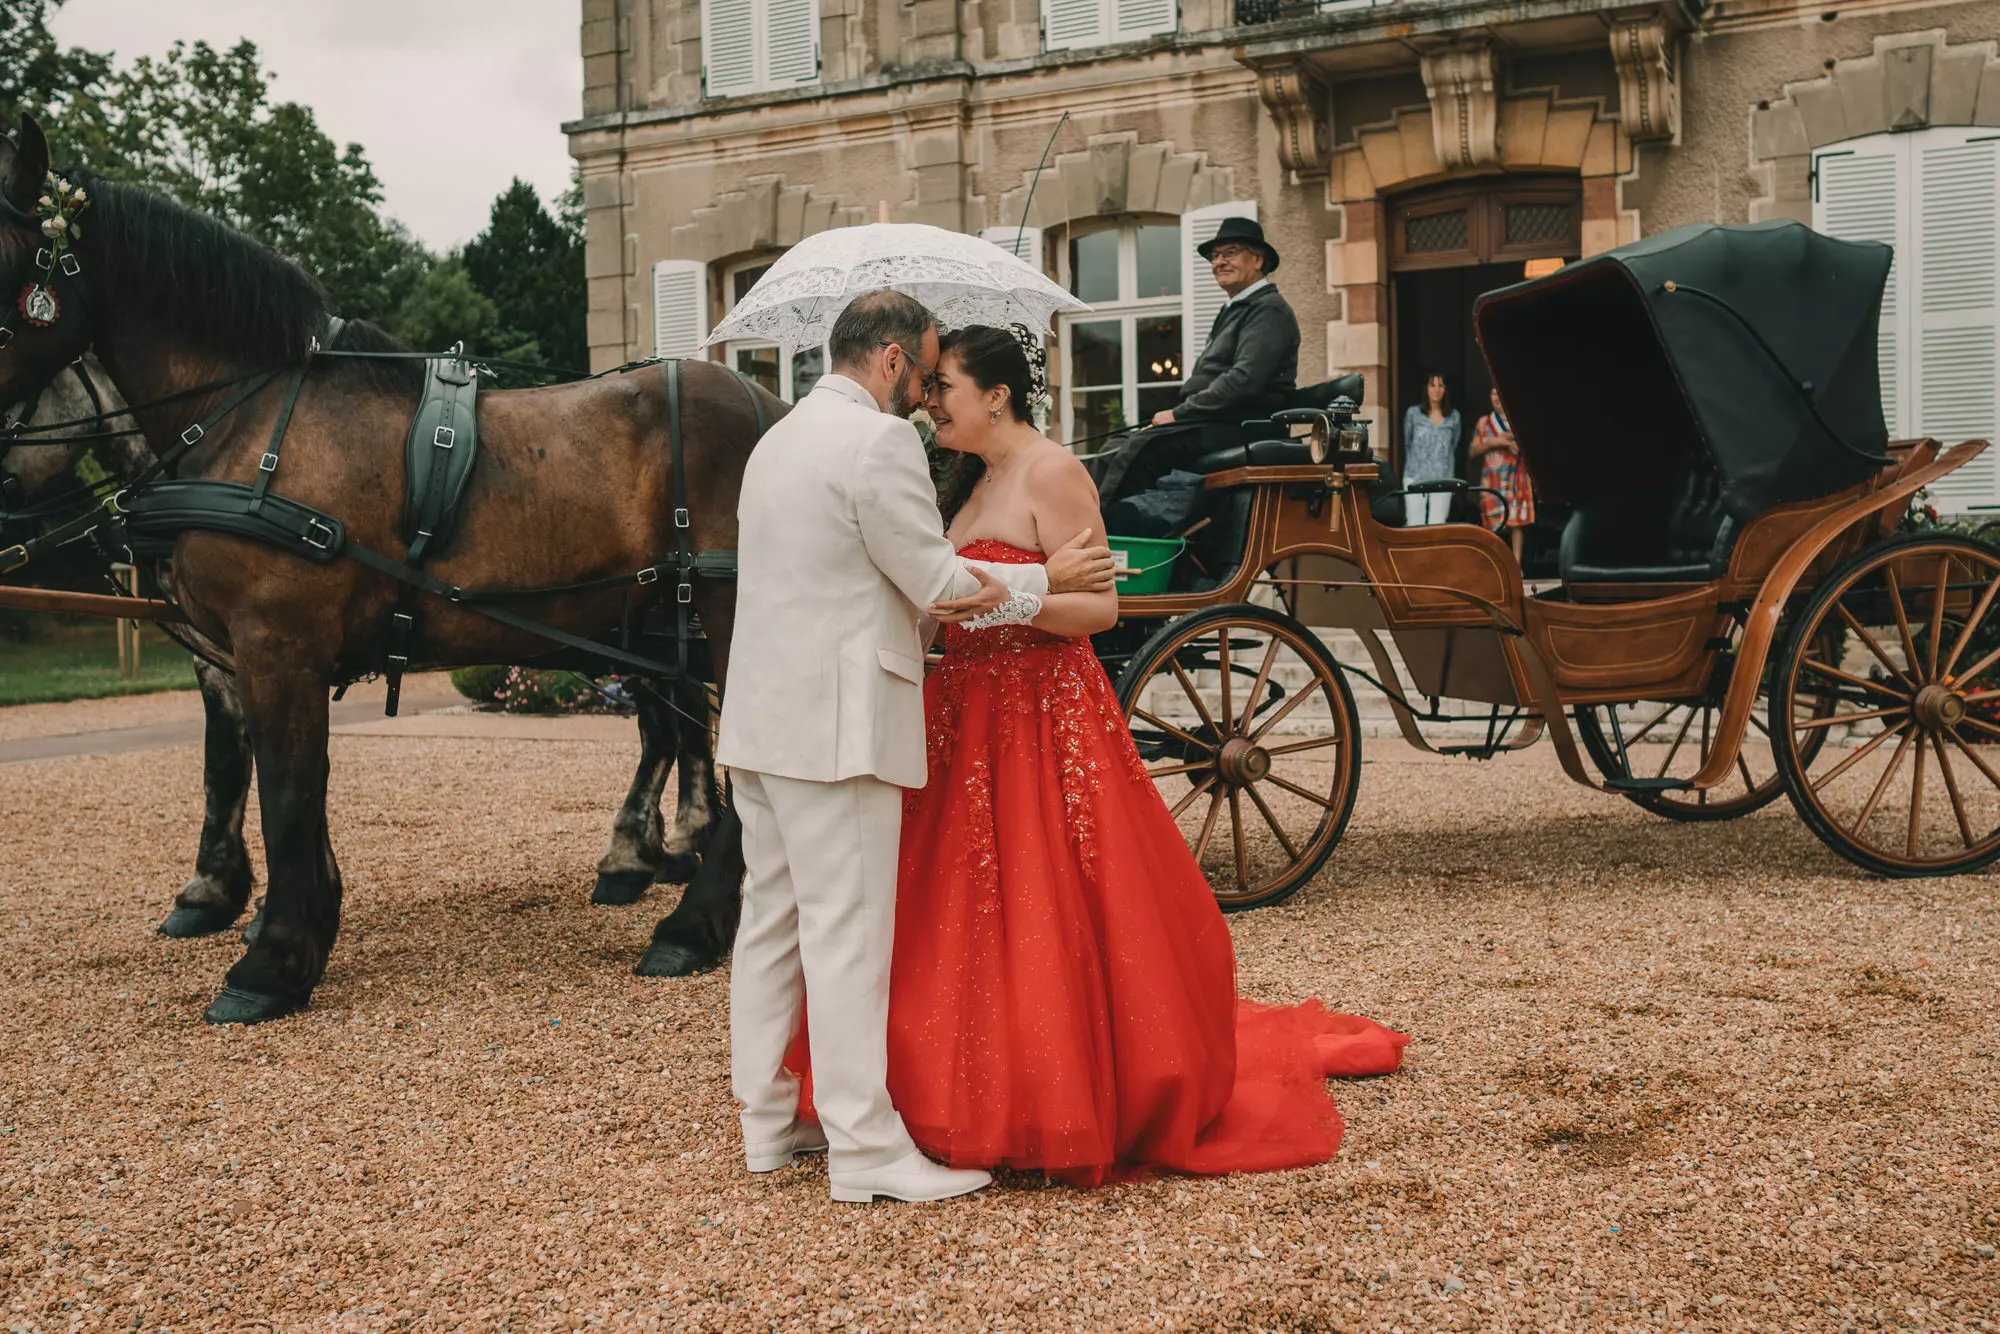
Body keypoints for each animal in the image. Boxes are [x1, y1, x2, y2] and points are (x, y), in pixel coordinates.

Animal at [0, 122, 764, 1024]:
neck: (257, 421)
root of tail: (775, 401)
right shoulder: (257, 654)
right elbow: (284, 785)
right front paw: (290, 917)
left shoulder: (273, 643)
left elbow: (283, 788)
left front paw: (271, 958)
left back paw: (689, 918)